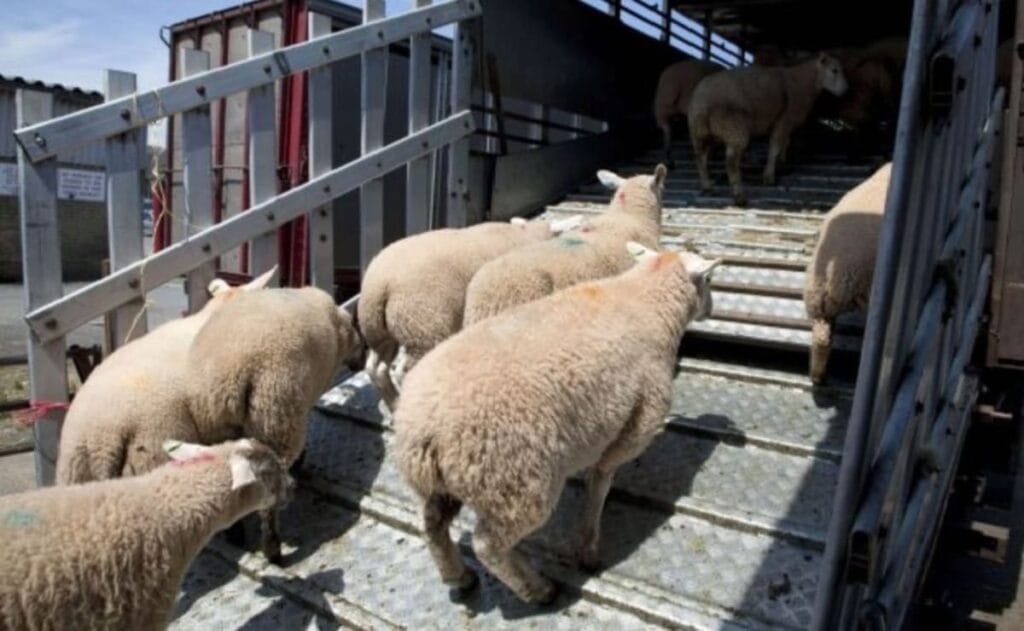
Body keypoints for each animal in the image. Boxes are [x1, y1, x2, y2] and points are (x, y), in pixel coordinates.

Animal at [184, 285, 363, 560]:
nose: (361, 362)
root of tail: (230, 381)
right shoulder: (304, 402)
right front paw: (301, 462)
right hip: (277, 418)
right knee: (269, 503)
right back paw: (273, 550)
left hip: (219, 427)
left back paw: (235, 536)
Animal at [358, 216, 582, 409]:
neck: (527, 236)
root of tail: (379, 285)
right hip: (423, 328)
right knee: (403, 373)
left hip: (382, 332)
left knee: (375, 368)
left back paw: (392, 405)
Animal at [394, 241, 721, 604]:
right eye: (709, 280)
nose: (712, 310)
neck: (647, 303)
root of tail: (422, 430)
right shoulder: (636, 425)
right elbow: (601, 480)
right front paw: (588, 546)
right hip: (514, 483)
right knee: (488, 545)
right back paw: (537, 590)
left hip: (452, 482)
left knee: (432, 524)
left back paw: (459, 577)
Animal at [688, 53, 849, 206]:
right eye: (834, 70)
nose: (845, 90)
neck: (803, 83)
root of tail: (702, 101)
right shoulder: (783, 120)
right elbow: (774, 148)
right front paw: (769, 176)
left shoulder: (786, 124)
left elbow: (785, 143)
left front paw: (782, 162)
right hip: (733, 127)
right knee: (731, 162)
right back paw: (739, 196)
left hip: (699, 132)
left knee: (700, 158)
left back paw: (707, 187)